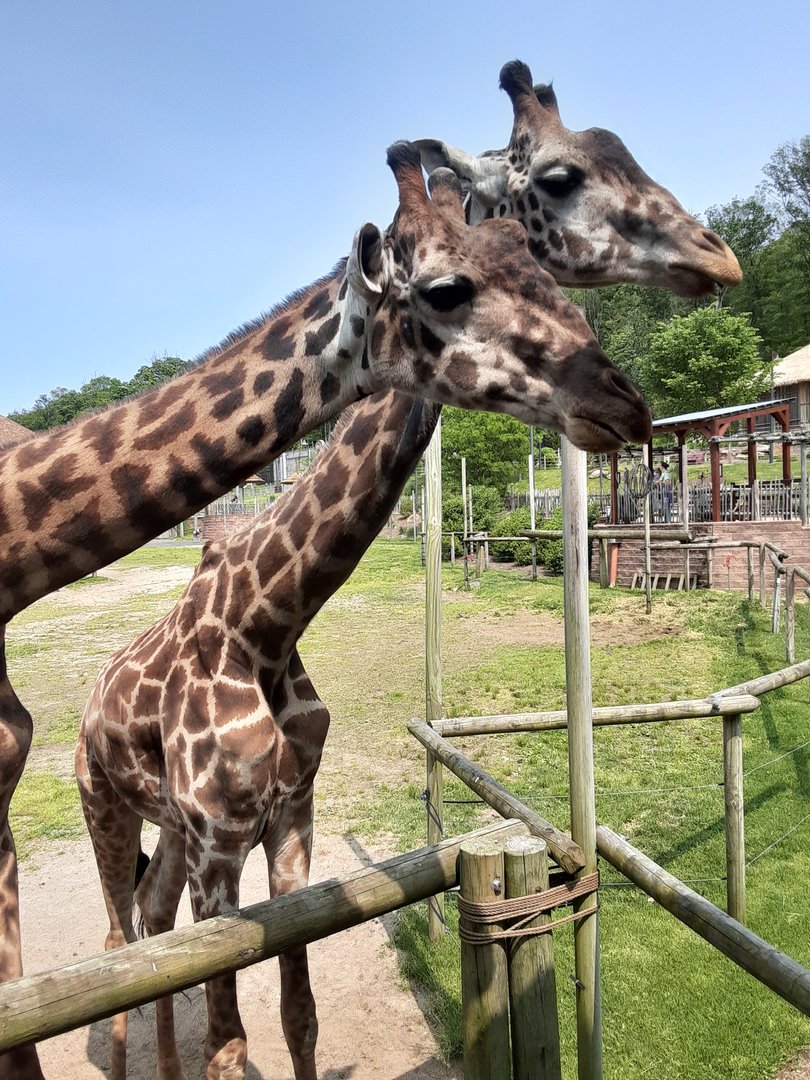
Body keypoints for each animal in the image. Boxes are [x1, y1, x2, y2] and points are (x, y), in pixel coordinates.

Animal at [0, 143, 651, 1080]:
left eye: (551, 279)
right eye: (448, 287)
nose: (623, 401)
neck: (268, 623)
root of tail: (88, 709)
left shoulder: (291, 816)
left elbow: (299, 1013)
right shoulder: (221, 838)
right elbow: (229, 1040)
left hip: (167, 833)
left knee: (150, 924)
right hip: (105, 806)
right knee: (118, 939)